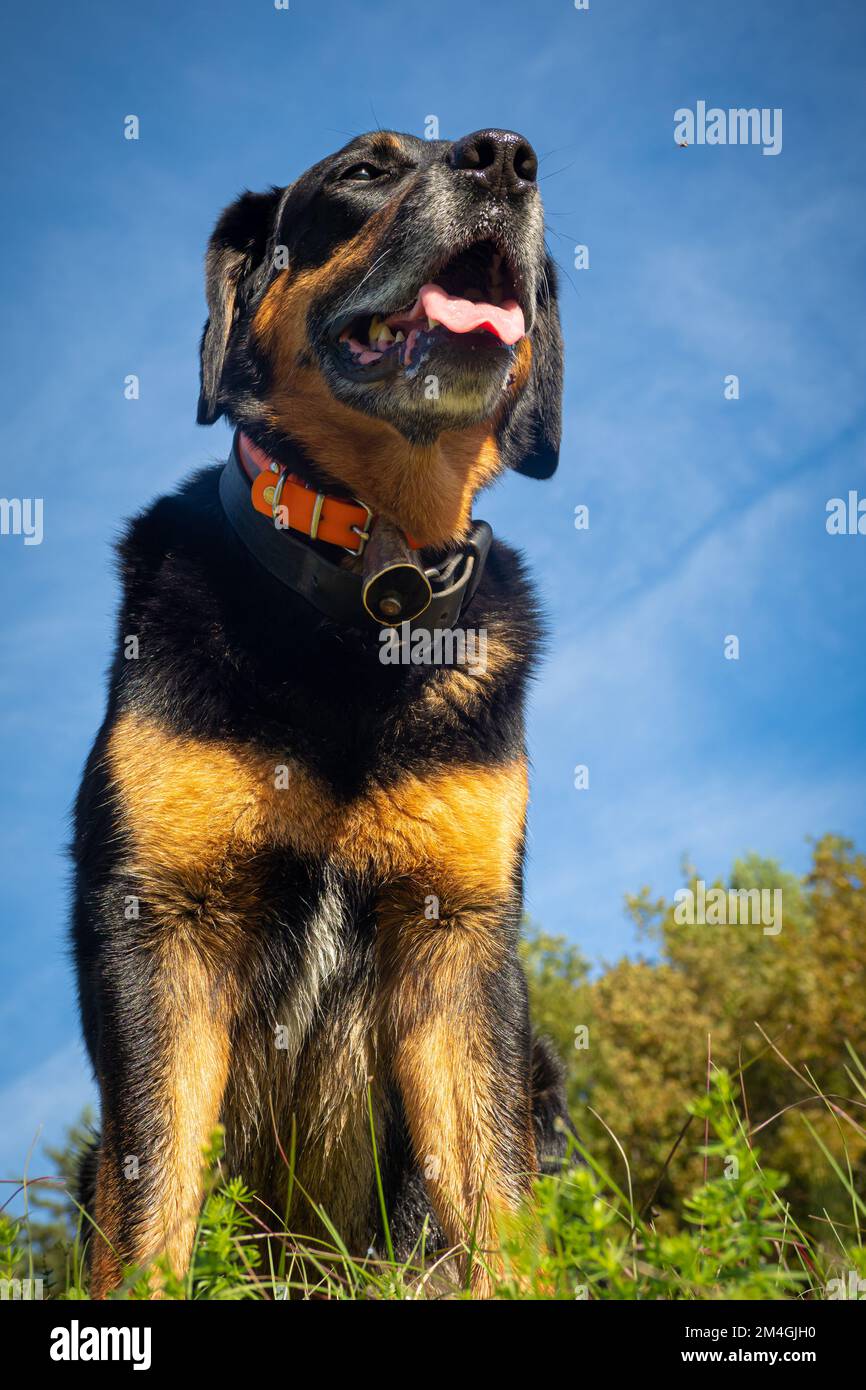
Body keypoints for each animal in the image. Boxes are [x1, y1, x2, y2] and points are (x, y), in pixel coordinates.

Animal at [74, 125, 572, 1295]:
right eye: (362, 171)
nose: (505, 157)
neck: (364, 601)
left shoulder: (457, 942)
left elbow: (498, 1205)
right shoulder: (159, 928)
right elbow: (152, 1208)